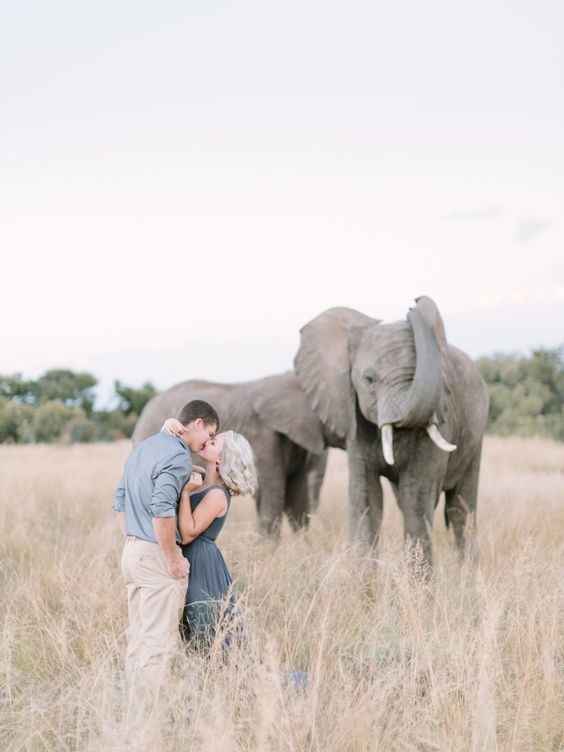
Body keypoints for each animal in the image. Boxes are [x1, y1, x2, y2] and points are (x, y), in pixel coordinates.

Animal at [296, 296, 490, 568]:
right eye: (369, 380)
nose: (414, 303)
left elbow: (416, 499)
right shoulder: (354, 420)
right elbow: (366, 497)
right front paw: (364, 581)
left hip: (476, 434)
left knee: (461, 509)